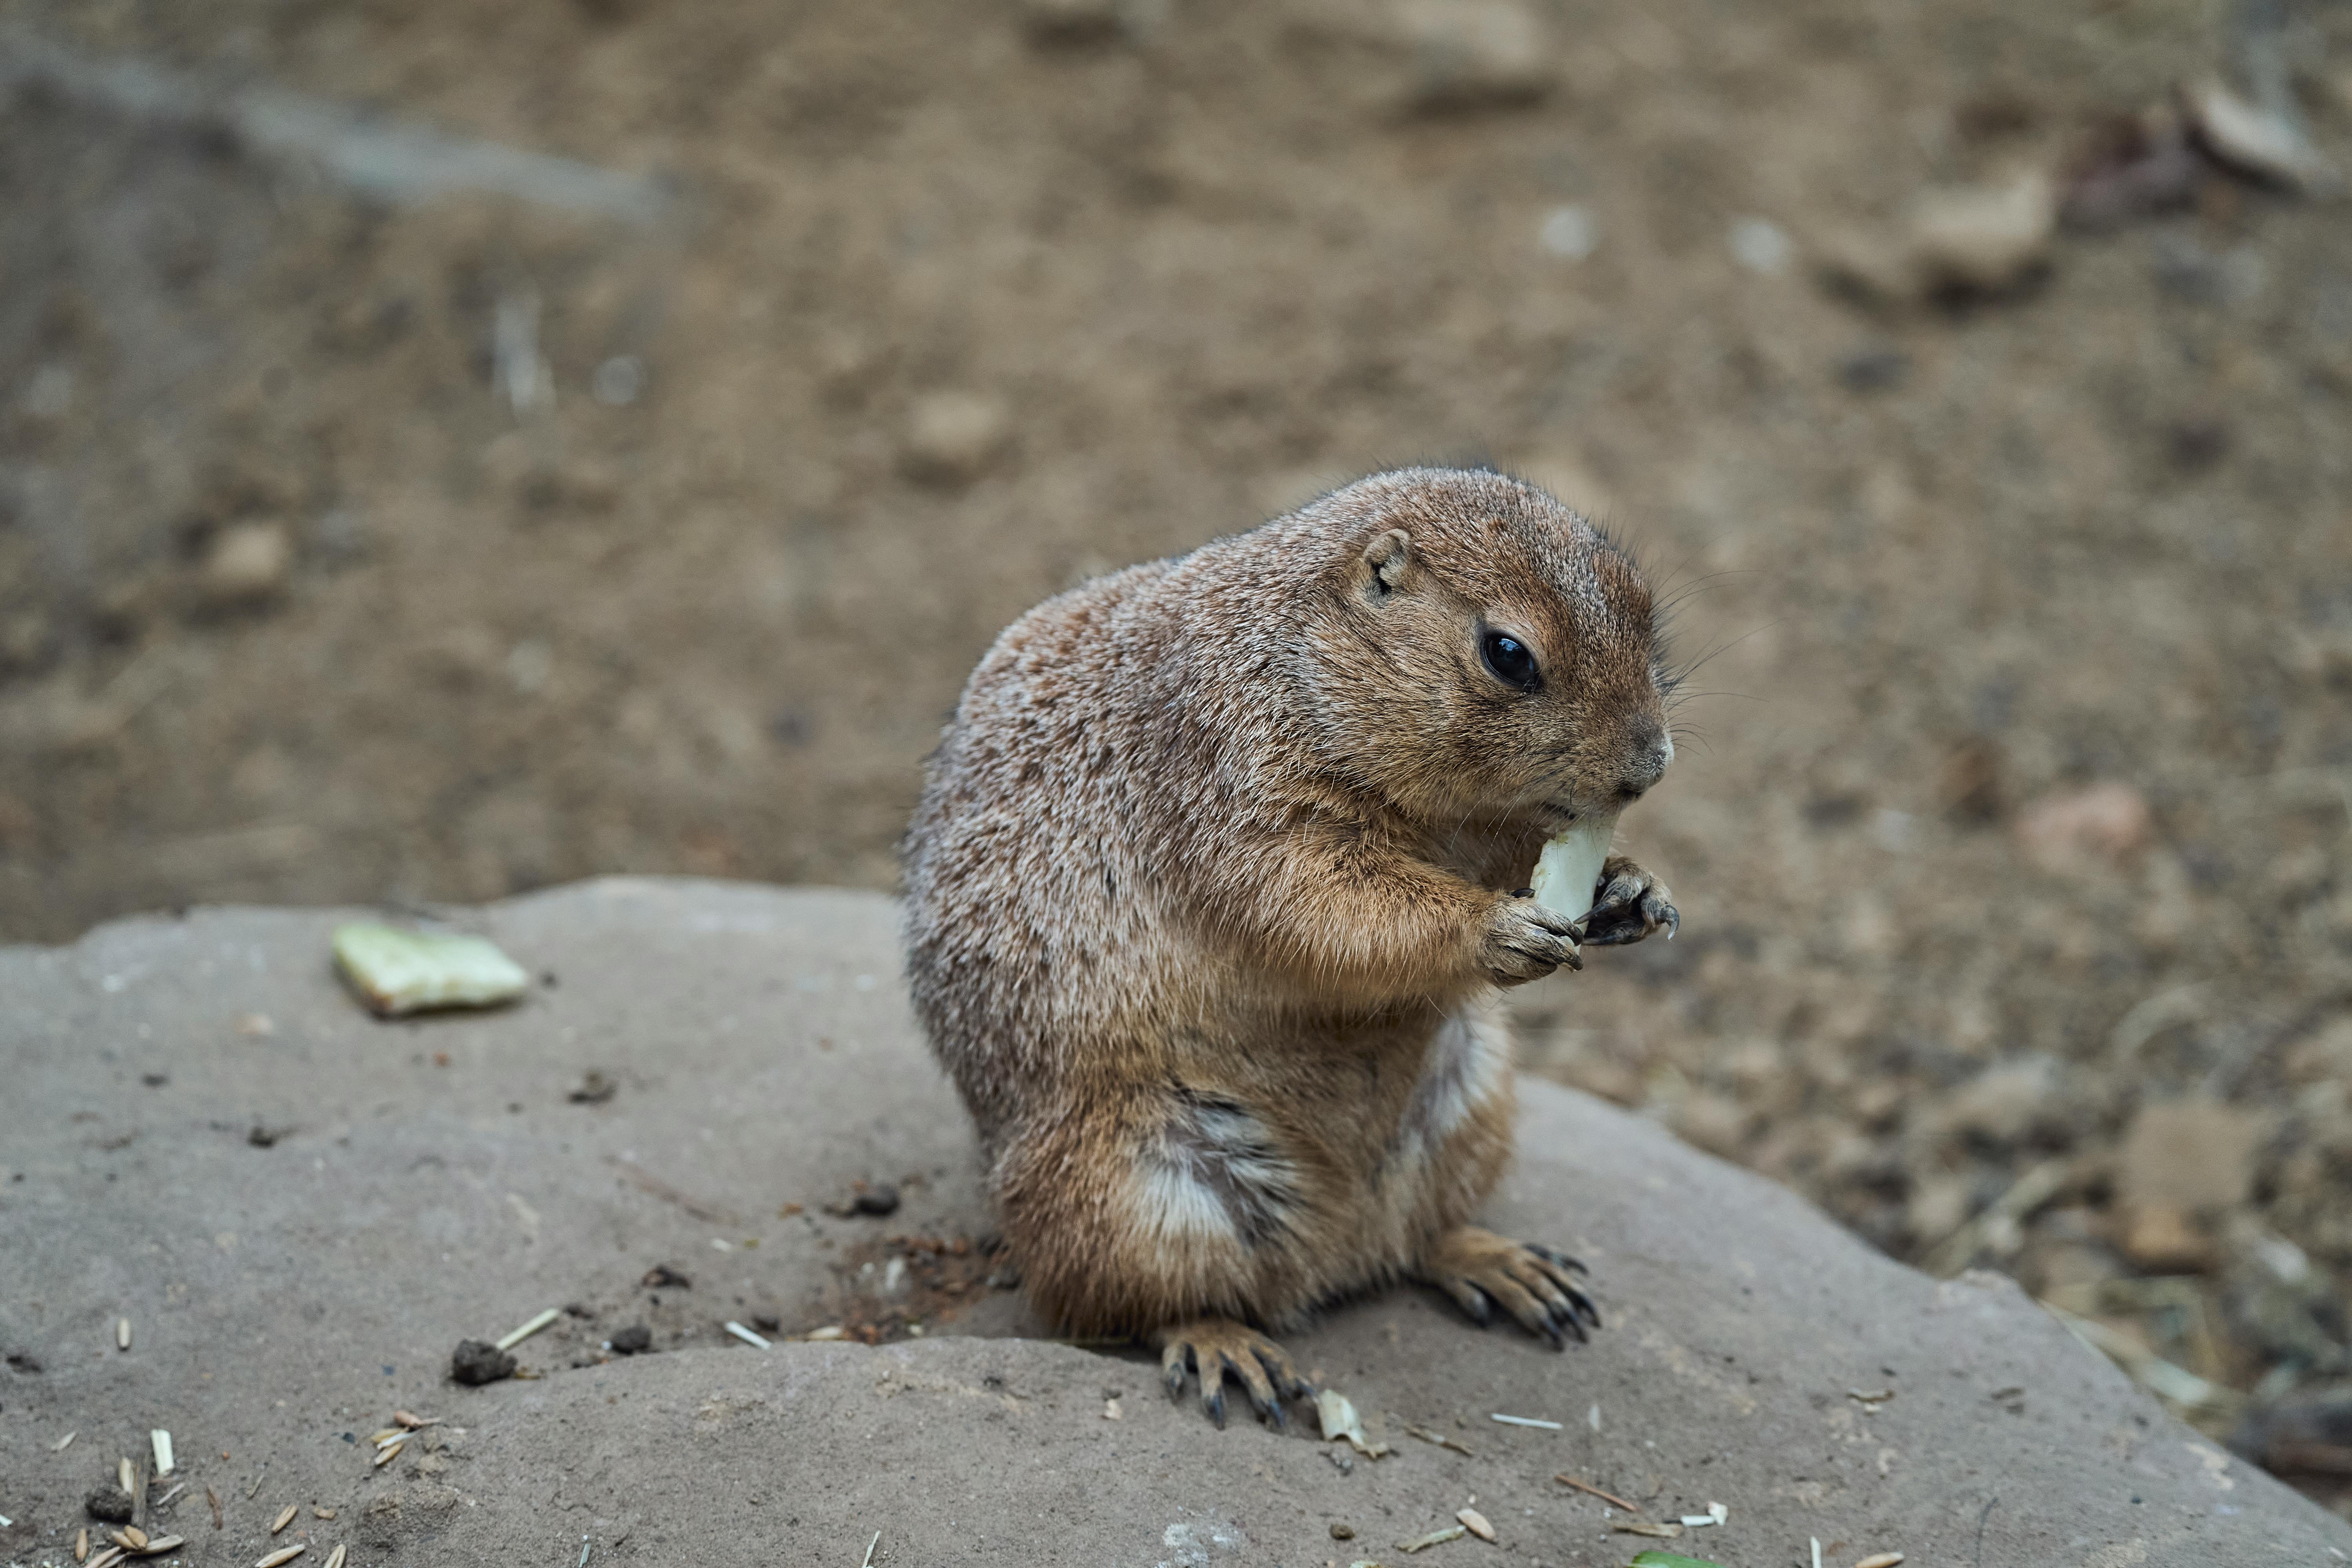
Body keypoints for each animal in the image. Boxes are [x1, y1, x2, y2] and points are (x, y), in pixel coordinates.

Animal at [902, 467, 1679, 1427]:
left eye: (1644, 605)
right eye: (1508, 654)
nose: (1652, 764)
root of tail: (1335, 1249)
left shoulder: (1485, 829)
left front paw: (1632, 889)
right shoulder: (1234, 783)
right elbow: (1323, 903)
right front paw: (1497, 928)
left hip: (1475, 1105)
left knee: (1415, 1239)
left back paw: (1507, 1266)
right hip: (1125, 1191)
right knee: (1134, 1303)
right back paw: (1228, 1350)